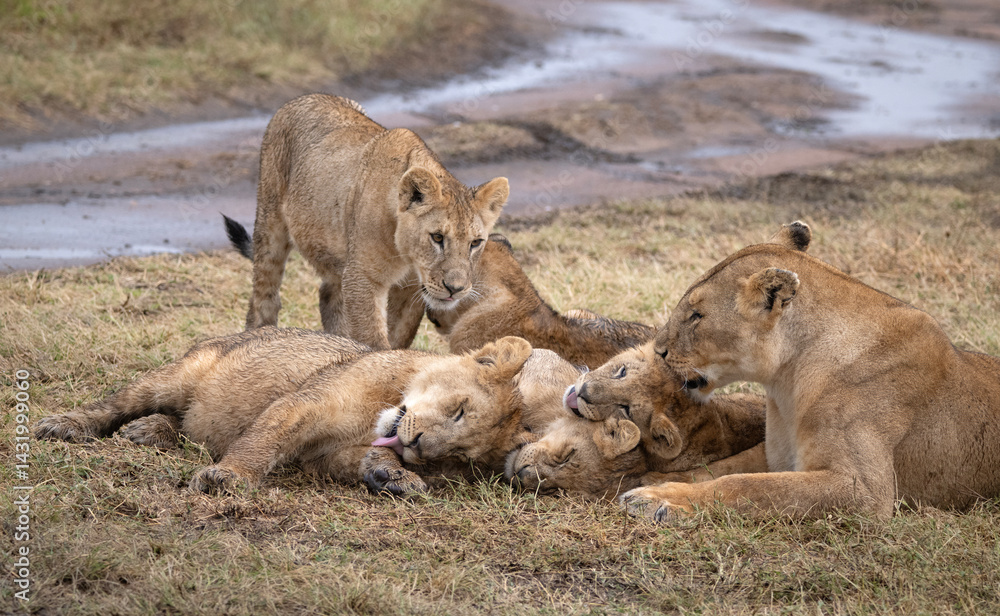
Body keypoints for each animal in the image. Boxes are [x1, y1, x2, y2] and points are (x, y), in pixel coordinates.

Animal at [34, 328, 563, 496]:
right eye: (458, 410)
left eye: (455, 457)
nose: (416, 446)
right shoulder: (304, 404)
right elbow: (263, 441)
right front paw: (227, 478)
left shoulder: (326, 456)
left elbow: (367, 459)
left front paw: (394, 477)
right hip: (181, 373)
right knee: (117, 403)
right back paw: (68, 424)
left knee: (183, 424)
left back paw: (149, 431)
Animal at [242, 93, 510, 350]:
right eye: (437, 237)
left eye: (475, 243)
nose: (455, 289)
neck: (406, 256)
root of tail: (304, 98)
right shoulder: (363, 278)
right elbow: (372, 338)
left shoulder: (410, 290)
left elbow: (397, 336)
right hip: (270, 223)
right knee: (264, 296)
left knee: (329, 295)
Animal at [622, 221, 1000, 522]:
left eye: (697, 315)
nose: (658, 351)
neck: (786, 382)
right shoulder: (776, 455)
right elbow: (723, 467)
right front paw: (659, 482)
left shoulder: (864, 491)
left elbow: (744, 485)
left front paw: (662, 499)